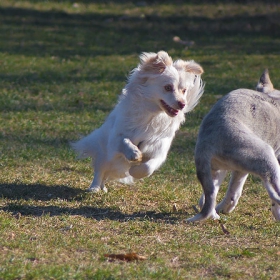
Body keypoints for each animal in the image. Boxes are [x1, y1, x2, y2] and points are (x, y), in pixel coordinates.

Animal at [71, 50, 203, 192]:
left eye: (184, 91)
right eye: (168, 87)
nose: (182, 104)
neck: (154, 115)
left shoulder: (159, 150)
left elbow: (147, 167)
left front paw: (135, 170)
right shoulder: (115, 138)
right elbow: (124, 140)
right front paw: (134, 153)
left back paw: (104, 187)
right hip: (104, 153)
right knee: (100, 170)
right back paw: (94, 187)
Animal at [187, 69, 280, 222]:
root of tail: (207, 142)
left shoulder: (239, 171)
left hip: (217, 171)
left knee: (213, 197)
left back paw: (215, 213)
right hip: (266, 157)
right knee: (274, 194)